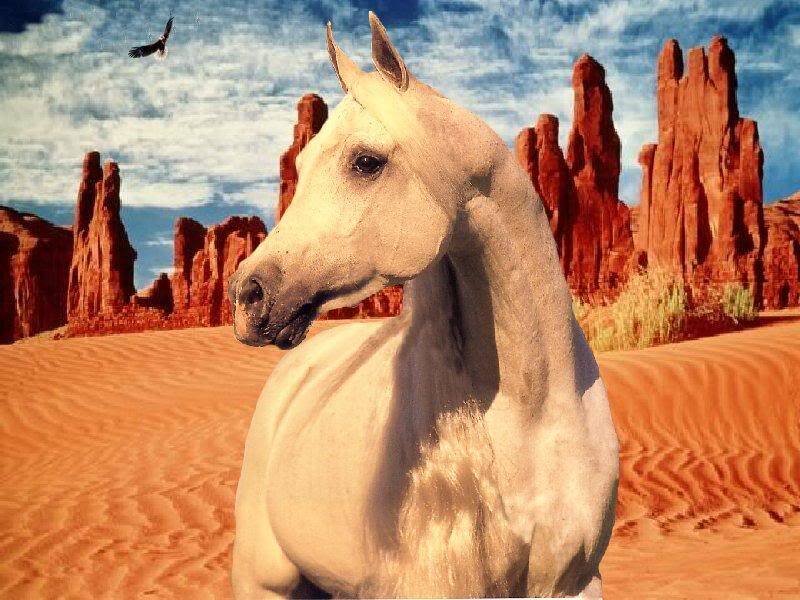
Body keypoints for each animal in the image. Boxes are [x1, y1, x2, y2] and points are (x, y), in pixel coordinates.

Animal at [227, 12, 619, 598]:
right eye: (302, 162)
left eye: (366, 162)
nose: (247, 295)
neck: (538, 413)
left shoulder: (574, 583)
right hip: (262, 581)